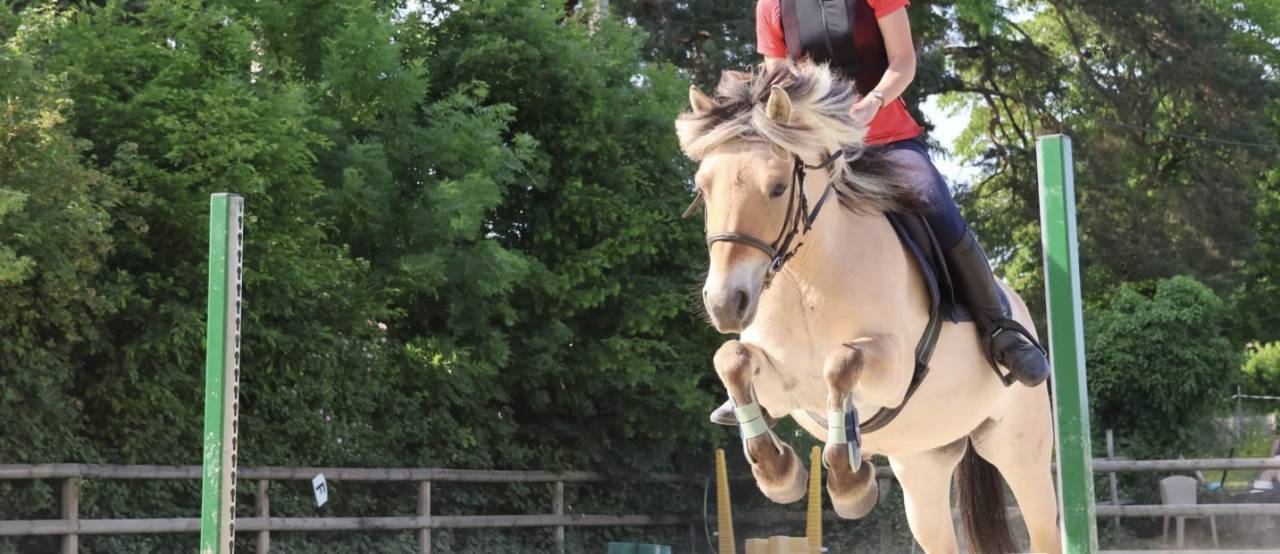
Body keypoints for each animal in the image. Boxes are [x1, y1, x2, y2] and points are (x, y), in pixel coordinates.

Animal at [675, 61, 1060, 554]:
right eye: (702, 189)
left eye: (778, 188)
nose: (726, 303)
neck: (803, 280)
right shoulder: (781, 388)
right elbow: (733, 358)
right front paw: (778, 472)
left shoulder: (894, 369)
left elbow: (840, 363)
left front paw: (848, 482)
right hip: (922, 463)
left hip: (1018, 450)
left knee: (1044, 526)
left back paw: (1018, 351)